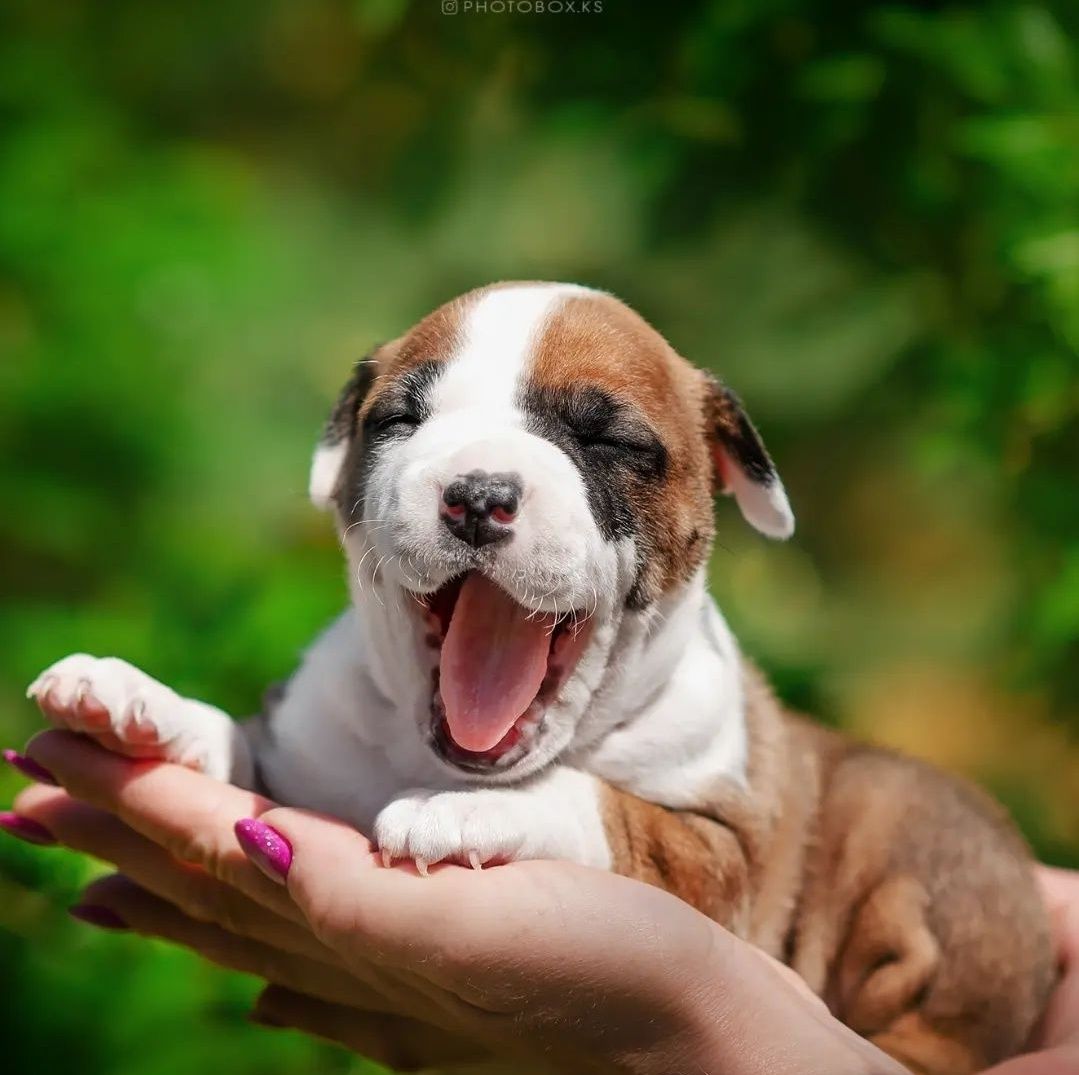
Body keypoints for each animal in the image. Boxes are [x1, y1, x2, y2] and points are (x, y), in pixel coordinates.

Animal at [29, 280, 1048, 1070]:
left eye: (608, 443)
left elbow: (605, 807)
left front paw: (463, 814)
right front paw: (136, 700)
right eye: (401, 420)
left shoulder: (720, 854)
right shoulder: (297, 757)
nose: (476, 495)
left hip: (911, 840)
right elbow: (240, 742)